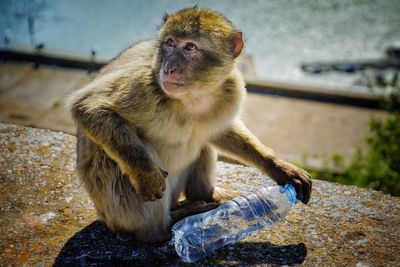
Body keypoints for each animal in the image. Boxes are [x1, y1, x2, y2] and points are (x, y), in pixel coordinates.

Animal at [67, 7, 310, 244]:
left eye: (190, 47)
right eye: (170, 43)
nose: (168, 69)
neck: (192, 96)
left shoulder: (230, 90)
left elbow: (221, 132)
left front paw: (280, 168)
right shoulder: (142, 85)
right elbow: (89, 107)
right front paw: (147, 175)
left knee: (203, 140)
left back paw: (205, 195)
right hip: (118, 215)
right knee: (113, 157)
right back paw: (168, 227)